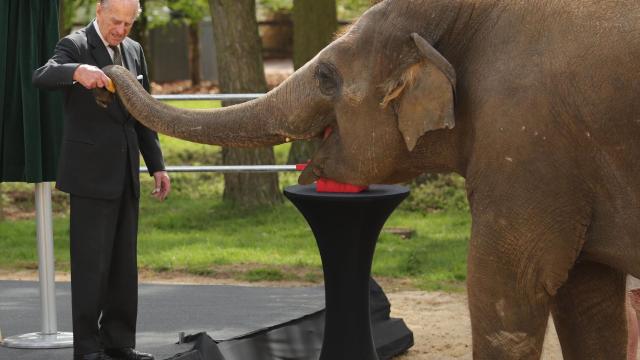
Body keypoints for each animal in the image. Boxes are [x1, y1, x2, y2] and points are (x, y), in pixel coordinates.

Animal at [102, 0, 640, 358]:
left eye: (326, 77)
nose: (107, 69)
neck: (463, 13)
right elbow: (588, 302)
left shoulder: (526, 142)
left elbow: (508, 290)